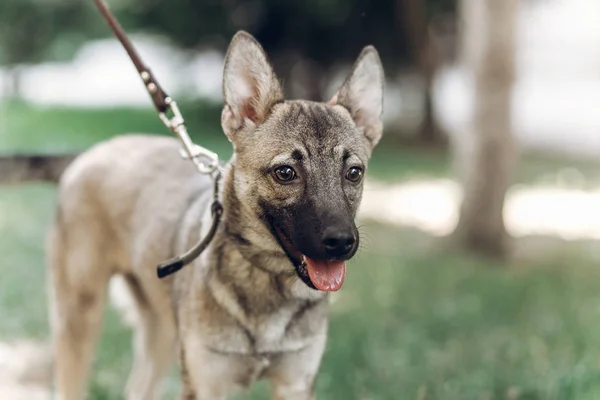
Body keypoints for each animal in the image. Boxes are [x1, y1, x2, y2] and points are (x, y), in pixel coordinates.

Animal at [0, 29, 384, 398]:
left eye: (354, 173)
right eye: (285, 172)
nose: (341, 243)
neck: (266, 278)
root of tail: (89, 153)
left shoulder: (295, 384)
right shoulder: (205, 385)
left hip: (160, 333)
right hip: (79, 318)